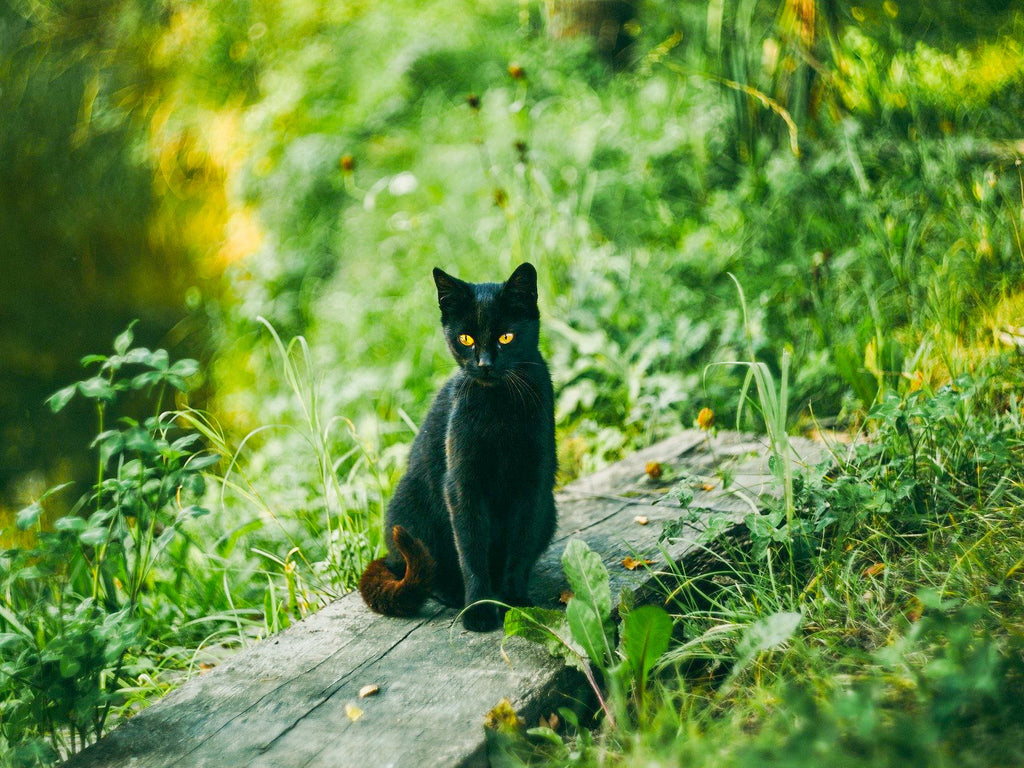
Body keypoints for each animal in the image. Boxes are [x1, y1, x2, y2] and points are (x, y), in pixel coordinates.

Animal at [358, 264, 557, 630]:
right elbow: (472, 551)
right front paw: (479, 610)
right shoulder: (463, 485)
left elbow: (520, 549)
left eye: (506, 337)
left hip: (550, 510)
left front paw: (515, 602)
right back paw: (453, 594)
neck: (499, 409)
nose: (484, 364)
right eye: (466, 339)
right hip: (411, 511)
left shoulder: (533, 485)